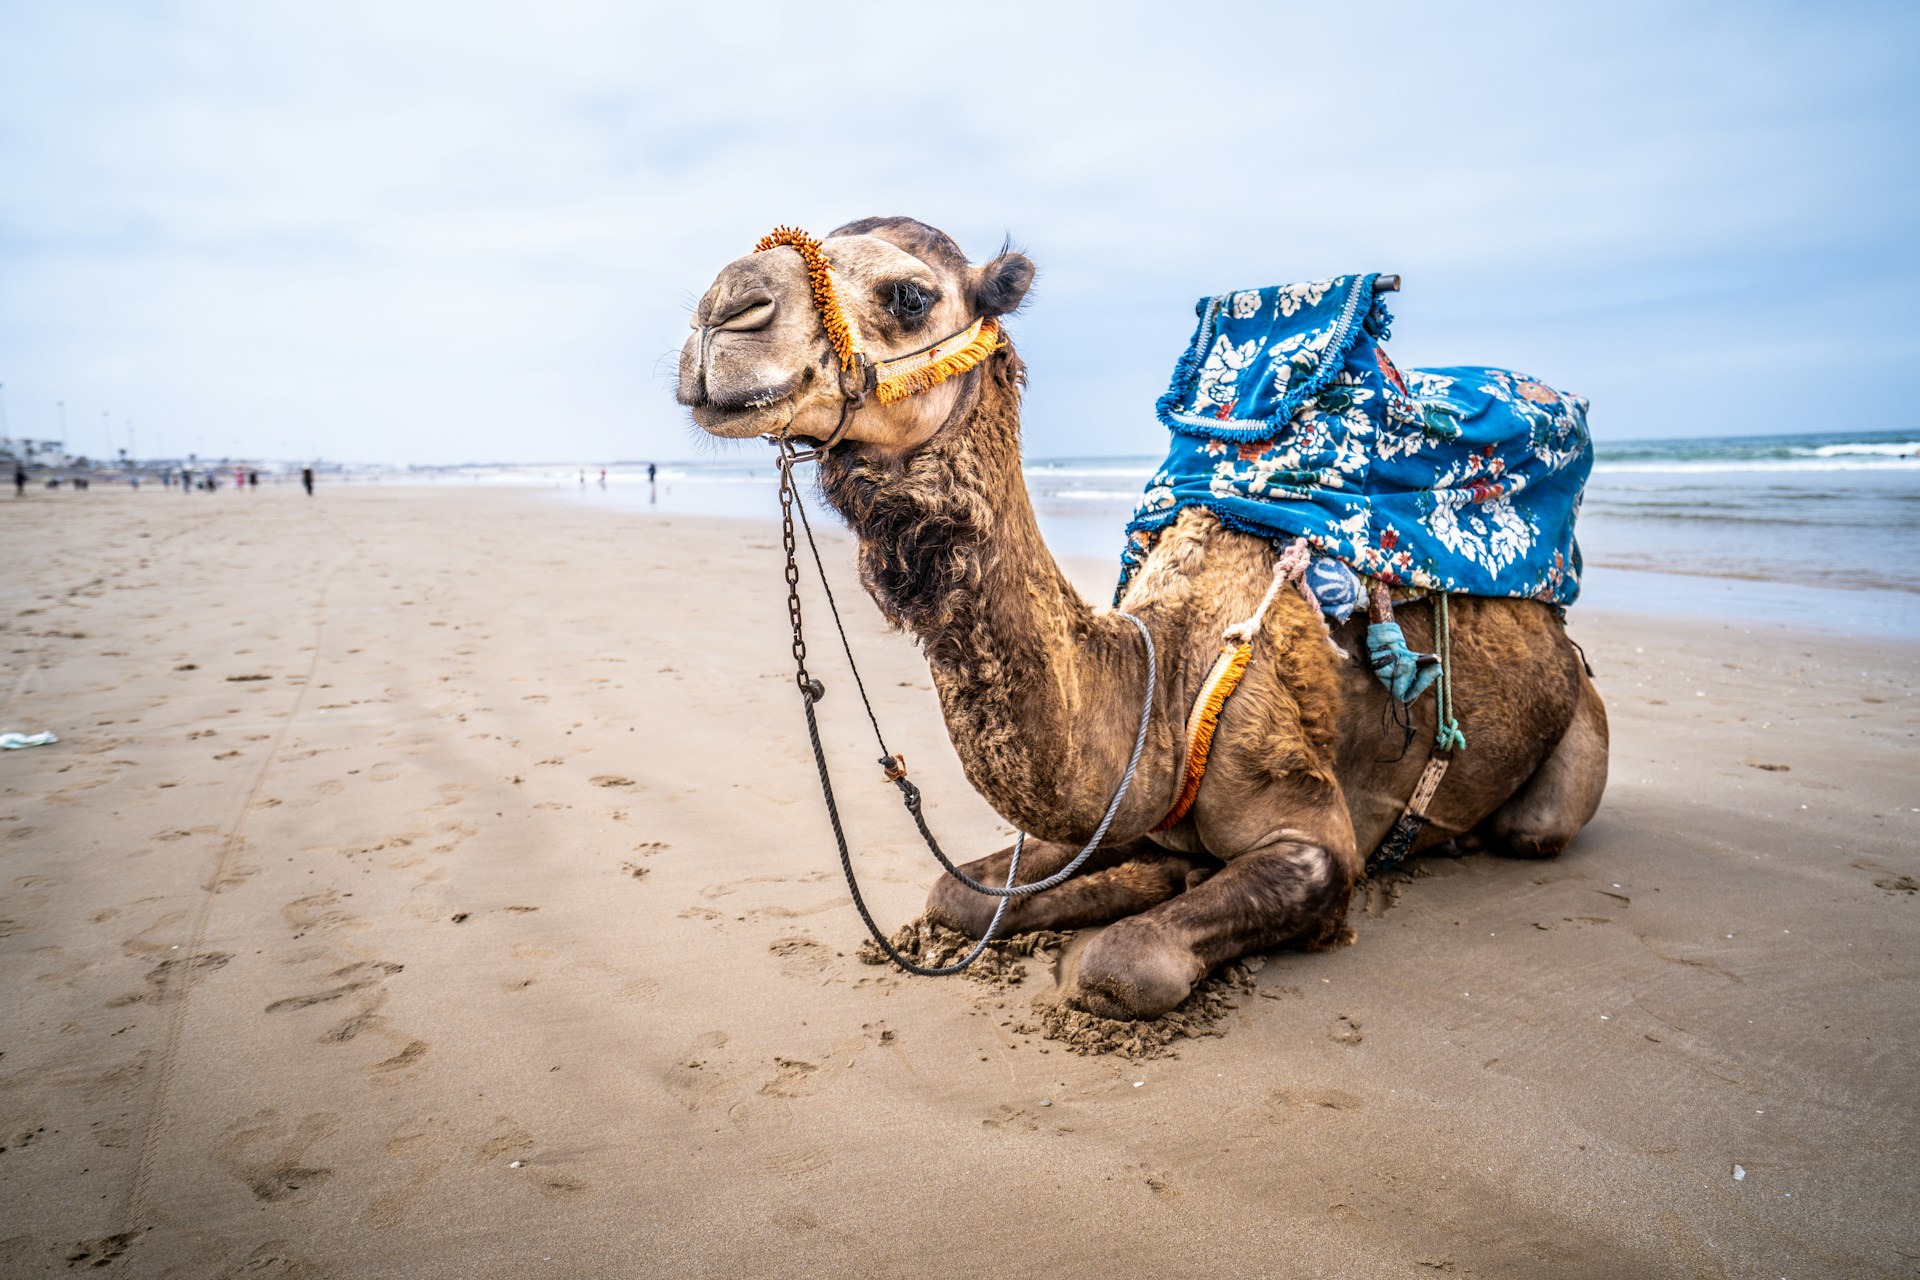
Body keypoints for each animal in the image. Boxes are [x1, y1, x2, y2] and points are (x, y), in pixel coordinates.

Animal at [677, 216, 1608, 1021]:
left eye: (909, 294)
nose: (723, 305)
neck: (1165, 679)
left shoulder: (1312, 830)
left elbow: (1120, 962)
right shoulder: (1116, 810)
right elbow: (953, 894)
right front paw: (1141, 881)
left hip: (1569, 747)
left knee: (1533, 828)